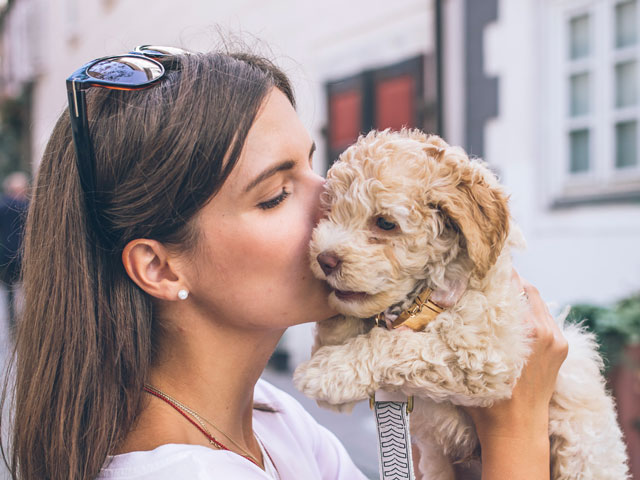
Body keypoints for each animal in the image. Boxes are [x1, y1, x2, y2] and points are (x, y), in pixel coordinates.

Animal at [296, 130, 632, 480]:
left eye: (385, 223)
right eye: (329, 212)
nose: (324, 259)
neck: (425, 299)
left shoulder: (485, 355)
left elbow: (398, 345)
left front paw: (325, 369)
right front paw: (336, 331)